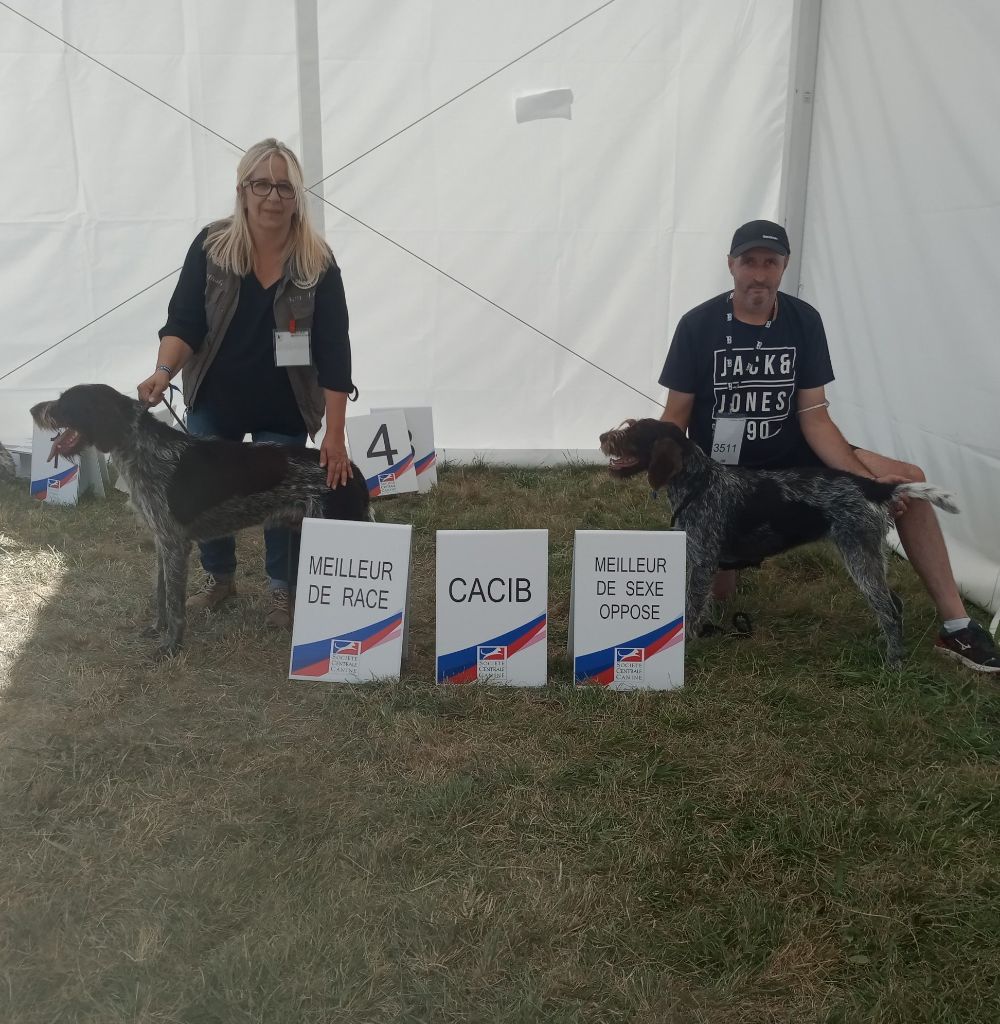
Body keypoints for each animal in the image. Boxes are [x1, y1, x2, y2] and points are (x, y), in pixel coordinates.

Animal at [31, 383, 370, 657]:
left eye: (65, 402)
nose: (33, 409)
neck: (139, 446)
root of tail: (351, 468)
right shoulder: (162, 540)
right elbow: (160, 592)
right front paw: (157, 628)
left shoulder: (175, 545)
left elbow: (174, 602)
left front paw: (171, 646)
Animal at [599, 418, 959, 665]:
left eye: (633, 433)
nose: (603, 436)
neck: (699, 483)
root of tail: (873, 486)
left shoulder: (702, 563)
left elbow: (693, 607)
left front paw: (687, 645)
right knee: (893, 603)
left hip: (860, 554)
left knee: (890, 609)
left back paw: (894, 662)